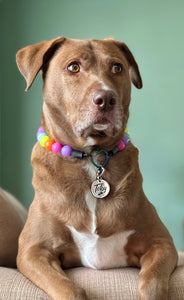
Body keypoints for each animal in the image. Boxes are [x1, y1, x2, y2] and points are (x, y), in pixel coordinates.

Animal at [16, 38, 178, 300]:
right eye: (73, 67)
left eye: (117, 67)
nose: (106, 99)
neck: (91, 158)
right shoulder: (34, 251)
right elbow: (70, 290)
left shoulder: (161, 242)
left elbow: (151, 282)